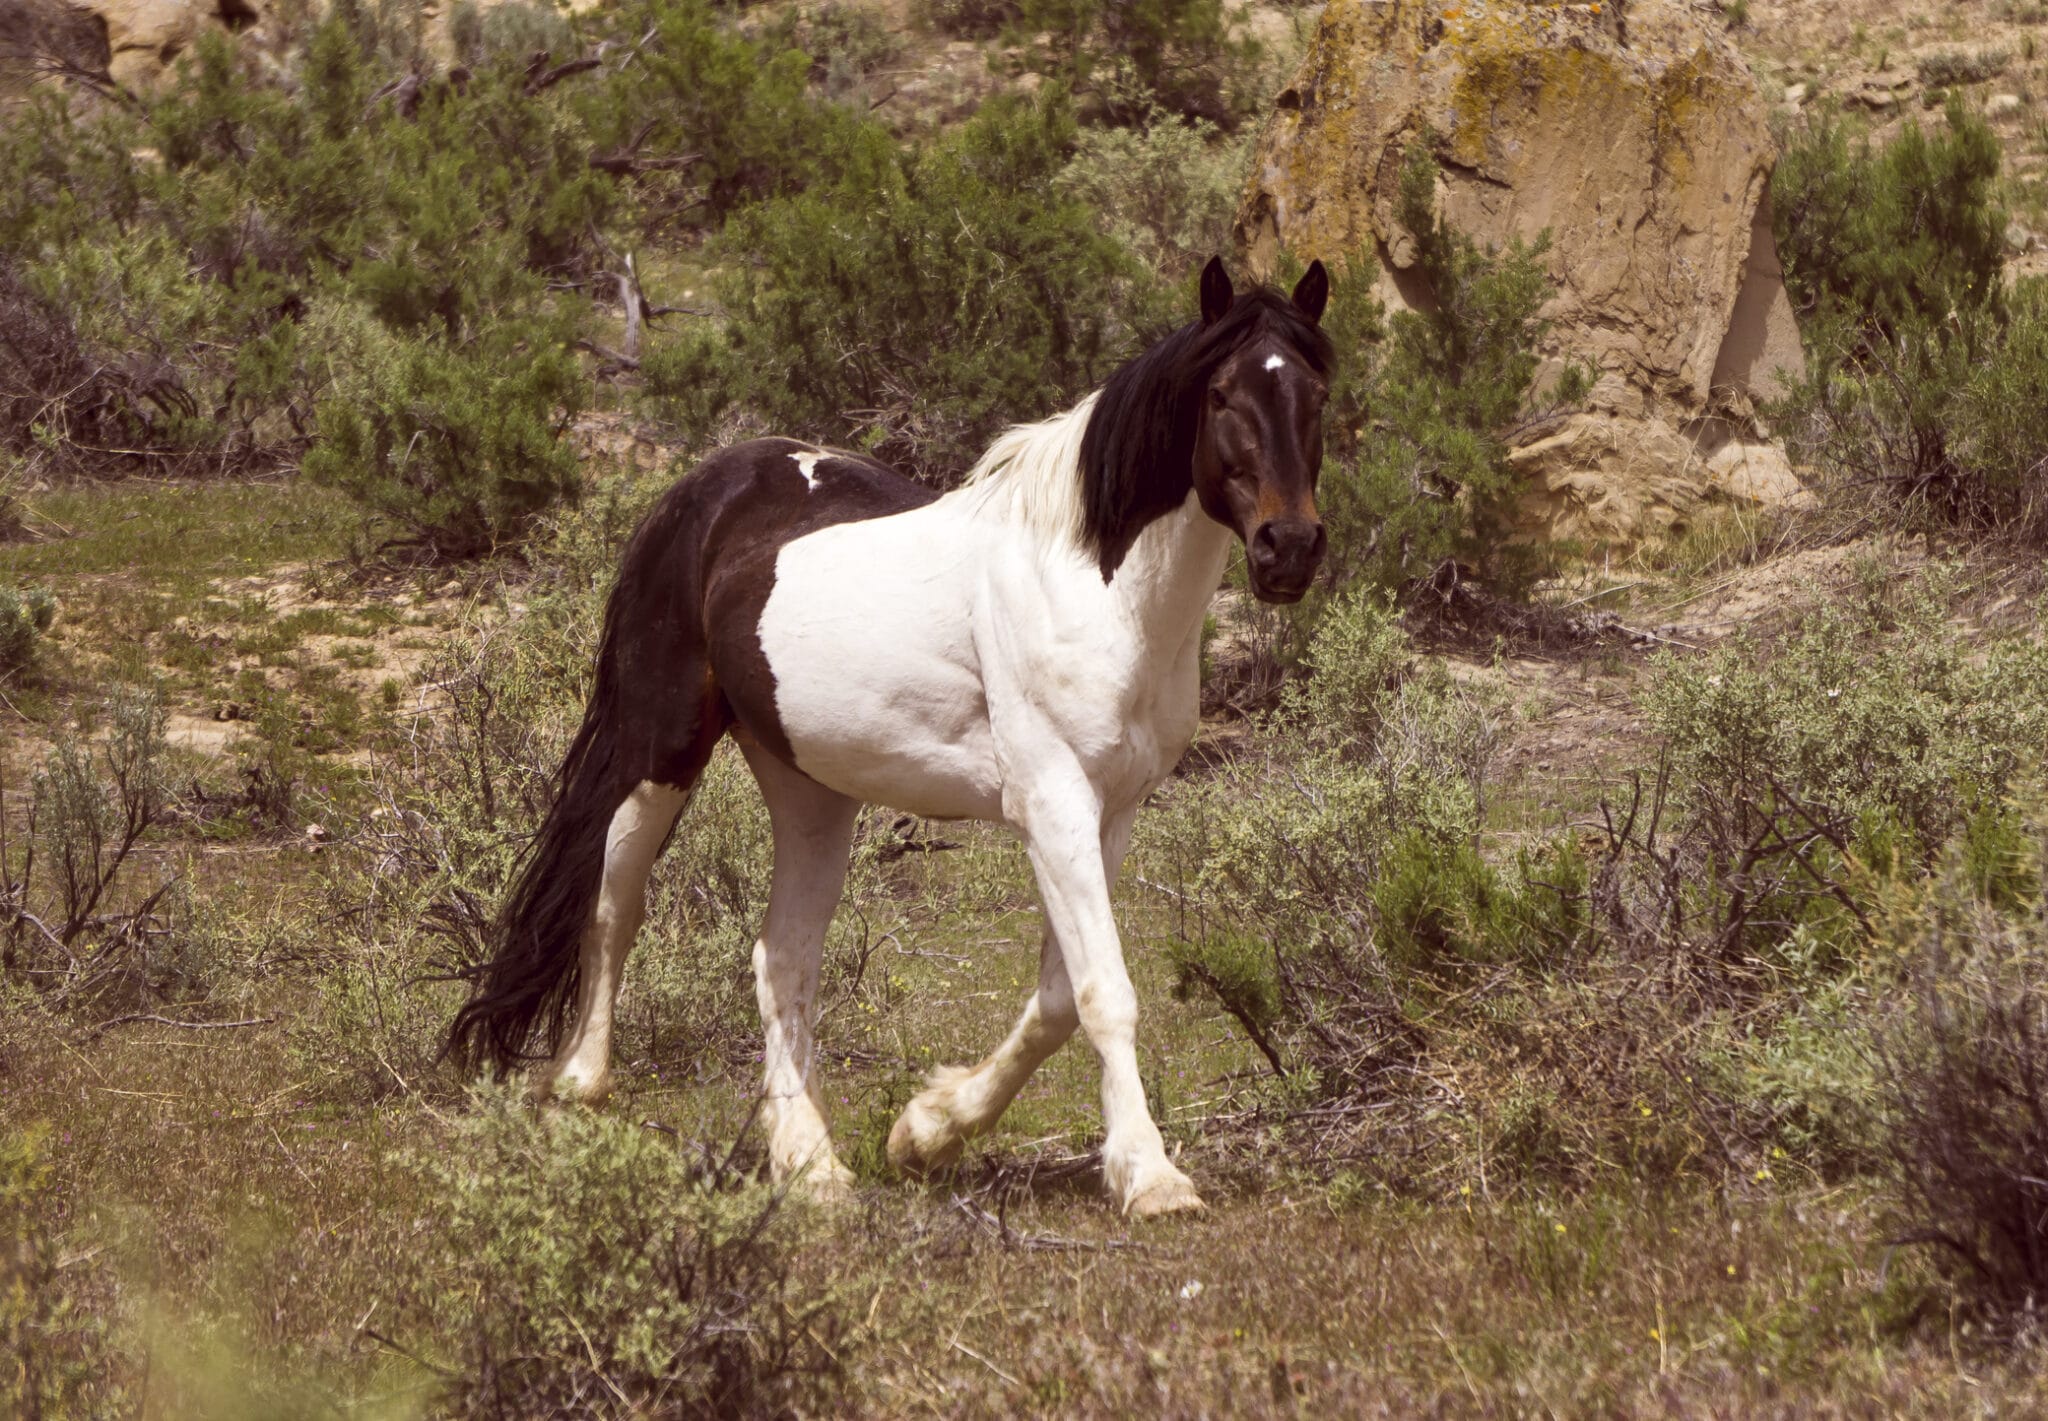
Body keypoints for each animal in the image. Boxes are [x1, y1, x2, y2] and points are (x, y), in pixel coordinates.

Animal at [450, 255, 1335, 1212]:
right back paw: (583, 1081)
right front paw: (1150, 1175)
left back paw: (811, 1163)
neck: (1092, 587)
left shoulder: (1111, 811)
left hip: (810, 795)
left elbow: (1058, 997)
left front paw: (928, 1129)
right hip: (659, 754)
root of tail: (699, 492)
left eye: (1318, 392)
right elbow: (1104, 991)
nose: (1289, 547)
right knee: (616, 905)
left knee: (780, 958)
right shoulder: (1052, 803)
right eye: (1221, 393)